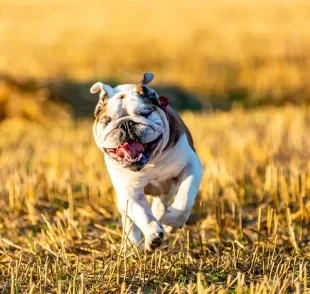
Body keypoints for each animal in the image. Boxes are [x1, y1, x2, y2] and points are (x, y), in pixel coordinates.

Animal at [91, 72, 202, 249]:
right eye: (107, 121)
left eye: (145, 113)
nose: (126, 124)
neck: (151, 162)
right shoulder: (129, 190)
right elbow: (141, 212)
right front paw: (152, 234)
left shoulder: (191, 166)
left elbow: (185, 197)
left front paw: (172, 221)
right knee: (129, 219)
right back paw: (133, 244)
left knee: (161, 204)